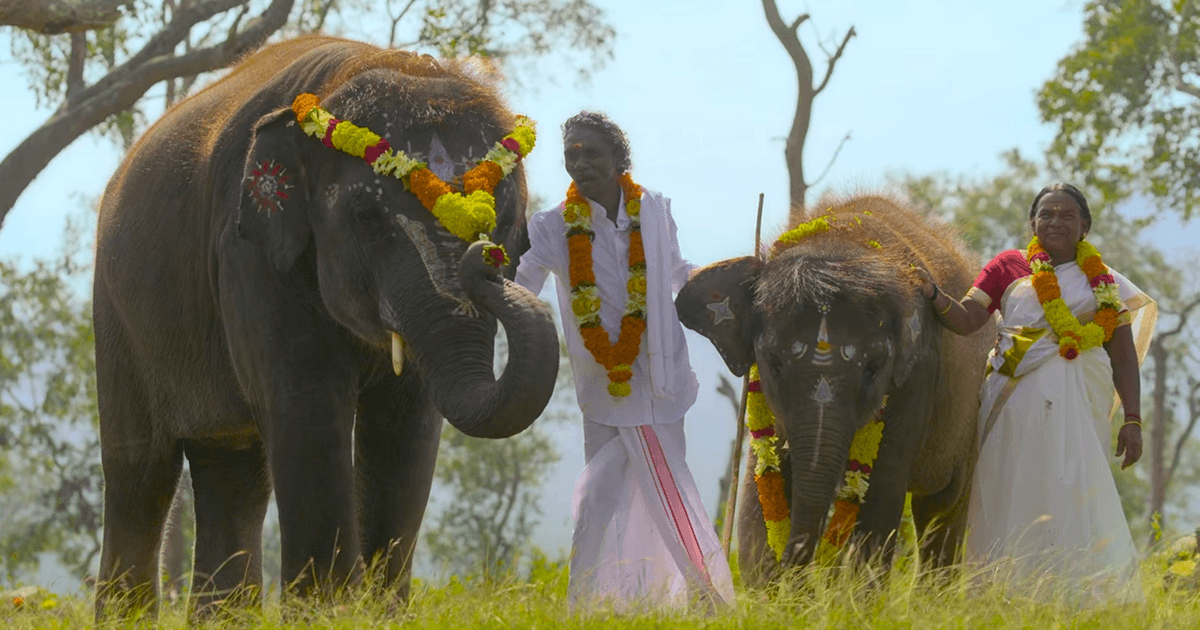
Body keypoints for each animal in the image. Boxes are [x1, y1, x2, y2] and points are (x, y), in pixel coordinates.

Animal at [91, 35, 559, 617]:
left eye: (510, 220)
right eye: (367, 218)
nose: (484, 254)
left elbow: (407, 424)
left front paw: (380, 614)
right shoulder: (247, 252)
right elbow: (306, 403)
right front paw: (328, 611)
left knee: (233, 469)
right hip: (116, 315)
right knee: (140, 473)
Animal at [676, 194, 994, 584]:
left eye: (874, 368)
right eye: (774, 362)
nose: (801, 577)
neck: (840, 241)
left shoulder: (919, 373)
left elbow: (881, 493)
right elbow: (760, 485)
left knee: (942, 509)